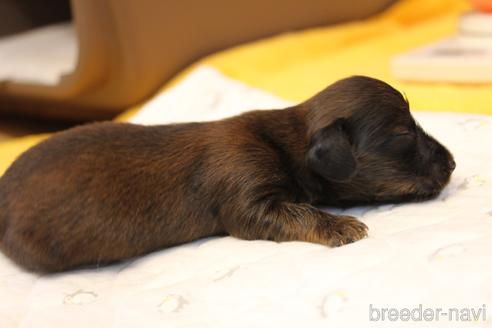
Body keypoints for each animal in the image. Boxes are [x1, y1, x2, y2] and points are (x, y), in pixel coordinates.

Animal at [0, 77, 456, 272]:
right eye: (402, 134)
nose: (453, 164)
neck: (287, 141)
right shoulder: (247, 197)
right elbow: (293, 213)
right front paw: (341, 226)